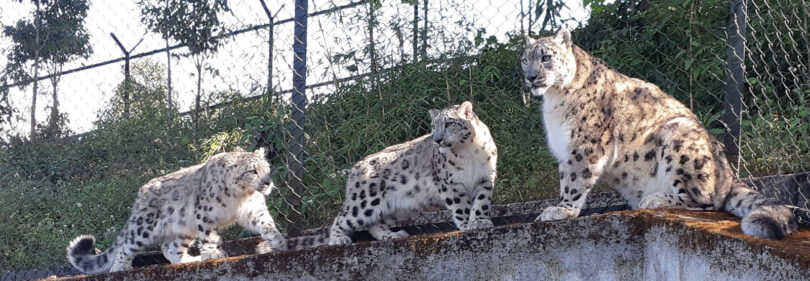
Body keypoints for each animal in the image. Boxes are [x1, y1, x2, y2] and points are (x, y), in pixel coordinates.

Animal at [66, 148, 288, 272]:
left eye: (267, 168)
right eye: (252, 170)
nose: (268, 182)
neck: (242, 196)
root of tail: (140, 195)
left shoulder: (253, 209)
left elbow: (265, 222)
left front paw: (277, 240)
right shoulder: (206, 213)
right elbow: (209, 235)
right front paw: (212, 253)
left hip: (183, 227)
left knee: (170, 248)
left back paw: (190, 259)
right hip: (144, 227)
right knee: (127, 246)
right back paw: (119, 268)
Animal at [322, 101, 498, 244]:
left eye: (449, 123)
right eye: (433, 126)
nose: (437, 139)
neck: (469, 152)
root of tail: (356, 166)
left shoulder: (485, 178)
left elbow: (481, 201)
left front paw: (480, 221)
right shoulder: (450, 183)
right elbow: (461, 206)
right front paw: (467, 224)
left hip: (397, 209)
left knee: (374, 224)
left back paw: (392, 235)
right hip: (365, 202)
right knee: (342, 218)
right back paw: (338, 239)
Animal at [516, 29, 796, 237]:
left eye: (546, 57)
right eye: (524, 60)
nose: (530, 77)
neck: (554, 101)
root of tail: (728, 174)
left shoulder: (585, 144)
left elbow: (575, 180)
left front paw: (561, 210)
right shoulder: (565, 148)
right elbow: (566, 177)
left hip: (680, 140)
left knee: (706, 202)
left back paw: (653, 199)